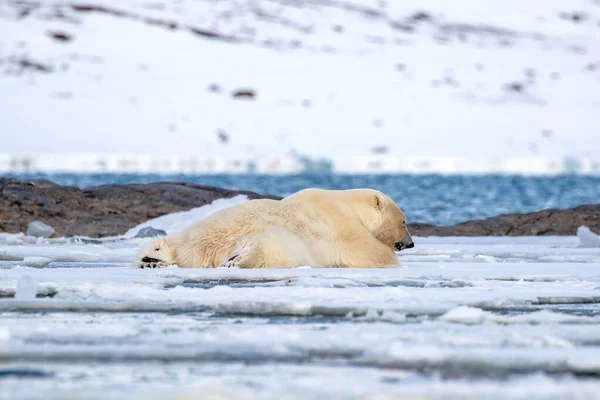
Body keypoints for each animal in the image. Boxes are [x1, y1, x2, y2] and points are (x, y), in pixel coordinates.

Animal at [138, 189, 414, 270]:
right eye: (404, 221)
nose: (410, 243)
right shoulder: (339, 224)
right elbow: (369, 252)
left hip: (193, 231)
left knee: (167, 242)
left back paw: (151, 258)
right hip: (282, 240)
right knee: (274, 249)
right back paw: (237, 259)